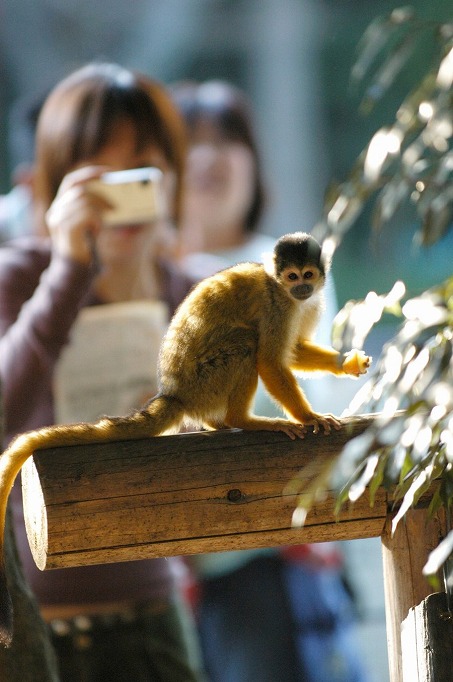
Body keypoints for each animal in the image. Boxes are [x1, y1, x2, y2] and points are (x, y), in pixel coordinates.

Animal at [0, 230, 370, 644]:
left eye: (308, 274)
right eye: (291, 277)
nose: (302, 287)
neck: (285, 293)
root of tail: (175, 394)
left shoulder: (302, 306)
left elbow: (292, 353)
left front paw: (347, 363)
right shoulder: (278, 306)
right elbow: (272, 361)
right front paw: (309, 416)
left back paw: (220, 423)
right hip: (206, 379)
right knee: (246, 342)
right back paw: (243, 420)